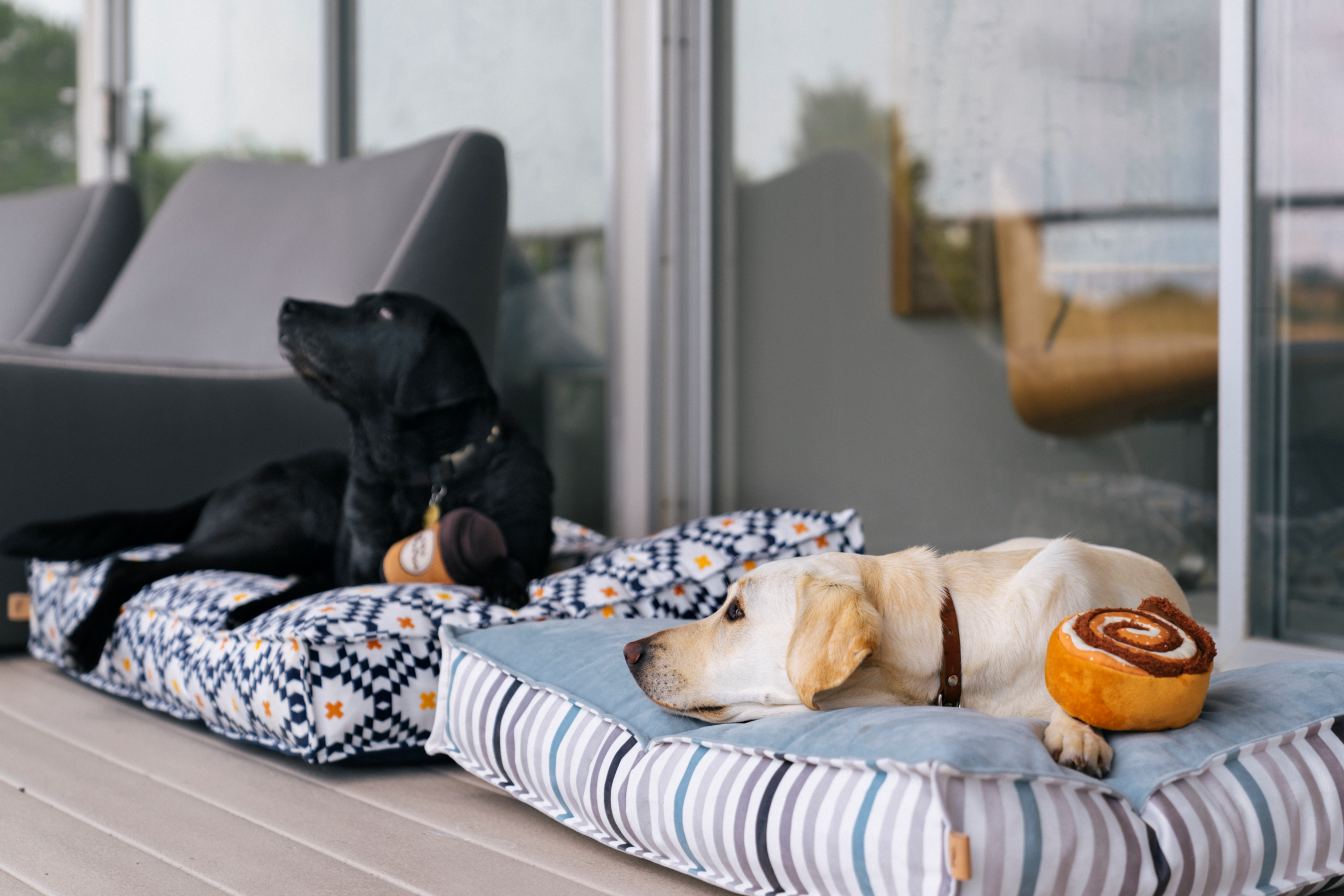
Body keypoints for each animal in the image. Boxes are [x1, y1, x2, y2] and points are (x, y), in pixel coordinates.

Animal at [0, 294, 553, 671]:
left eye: (384, 314)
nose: (288, 305)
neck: (423, 476)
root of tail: (225, 483)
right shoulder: (361, 567)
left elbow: (510, 555)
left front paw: (504, 580)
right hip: (275, 534)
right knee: (129, 567)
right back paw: (89, 638)